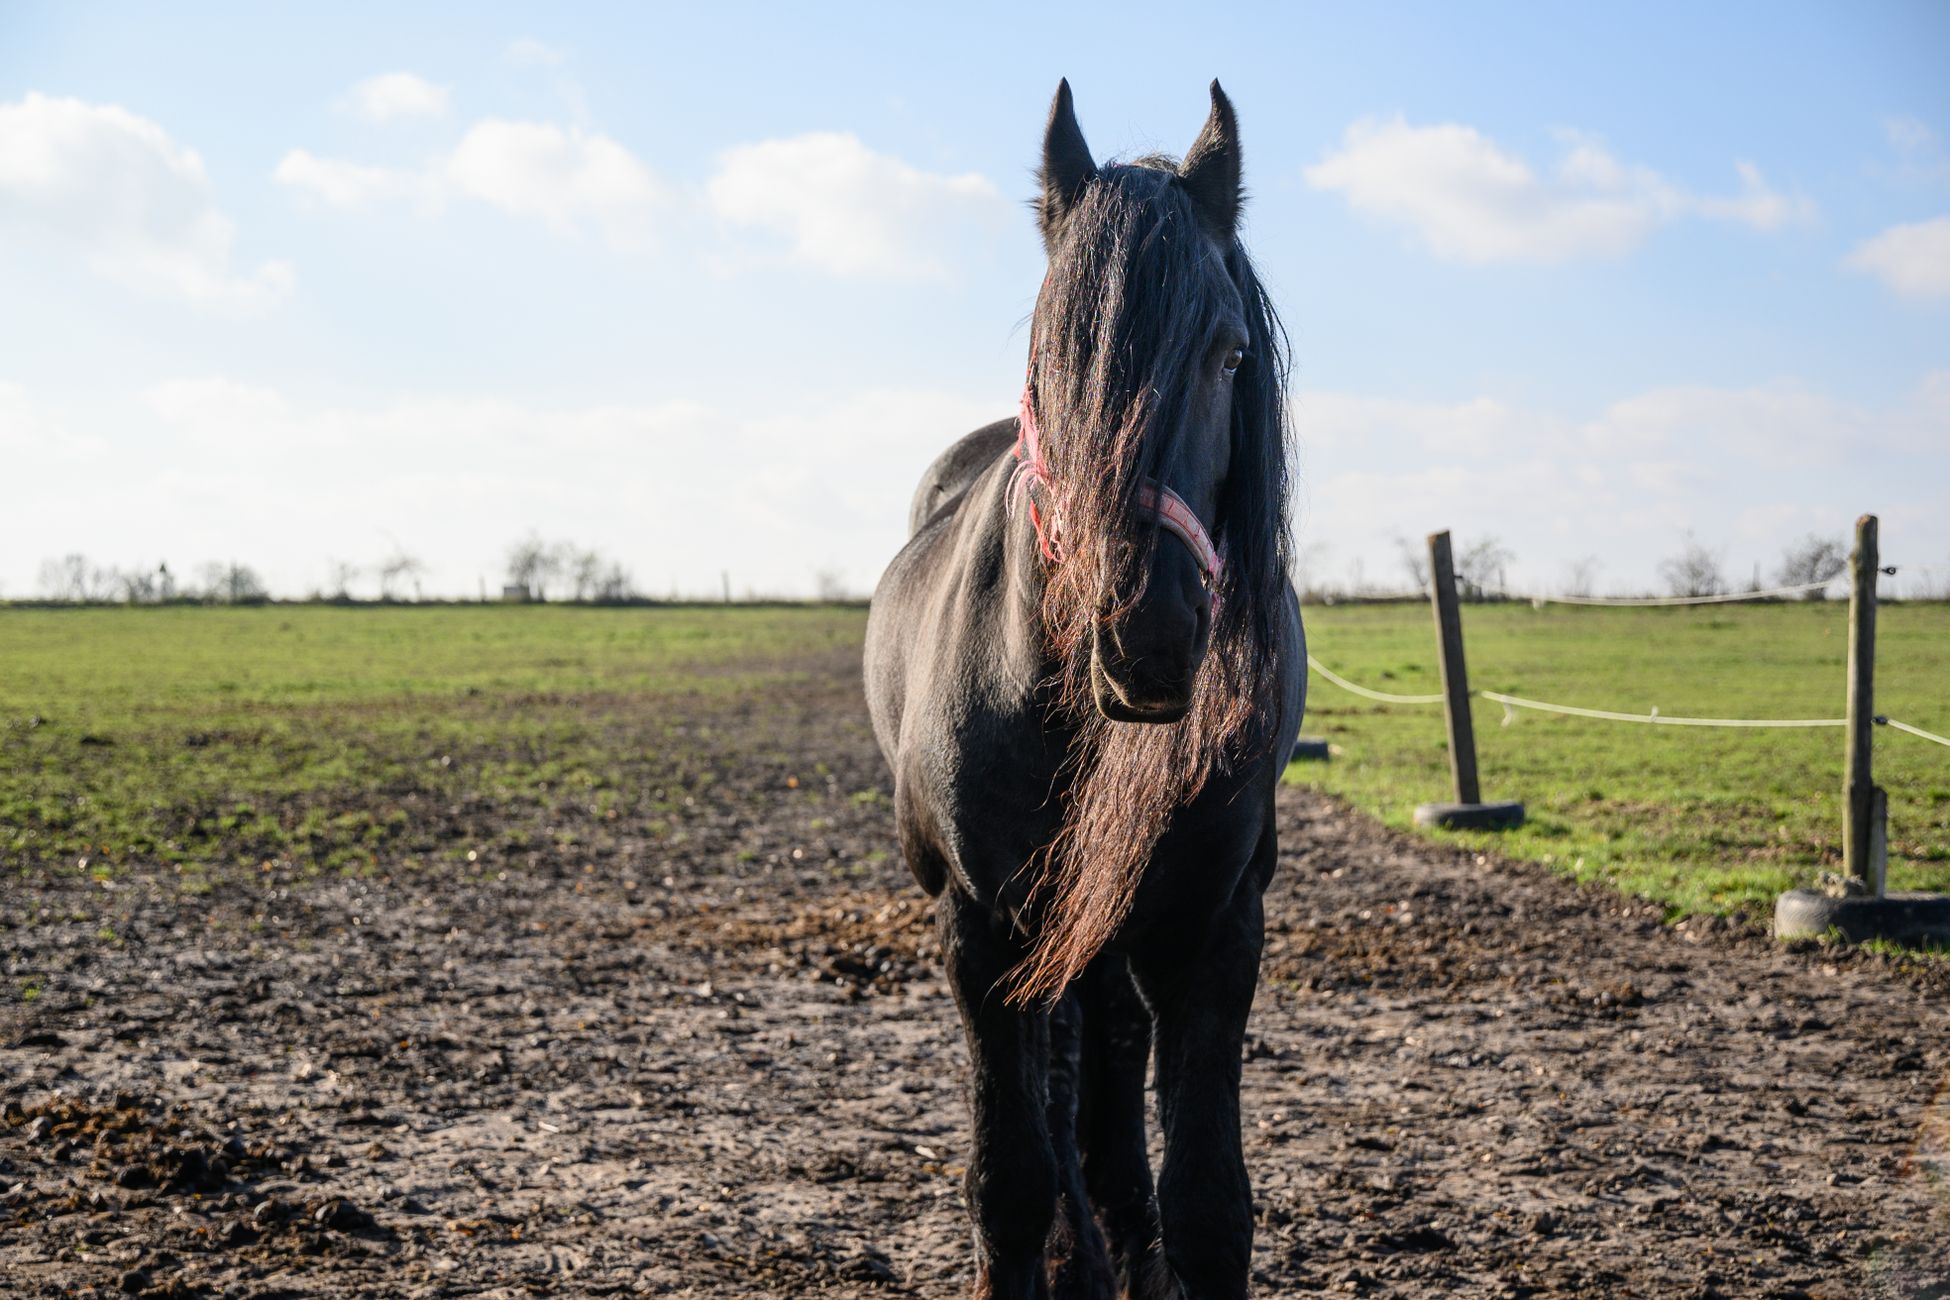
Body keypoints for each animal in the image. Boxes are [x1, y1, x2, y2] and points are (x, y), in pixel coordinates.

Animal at [863, 79, 1304, 1300]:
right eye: (1050, 353)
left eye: (1230, 357)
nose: (1143, 634)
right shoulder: (982, 932)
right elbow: (1010, 1178)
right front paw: (1054, 1248)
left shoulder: (1215, 928)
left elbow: (1211, 1204)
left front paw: (1152, 1237)